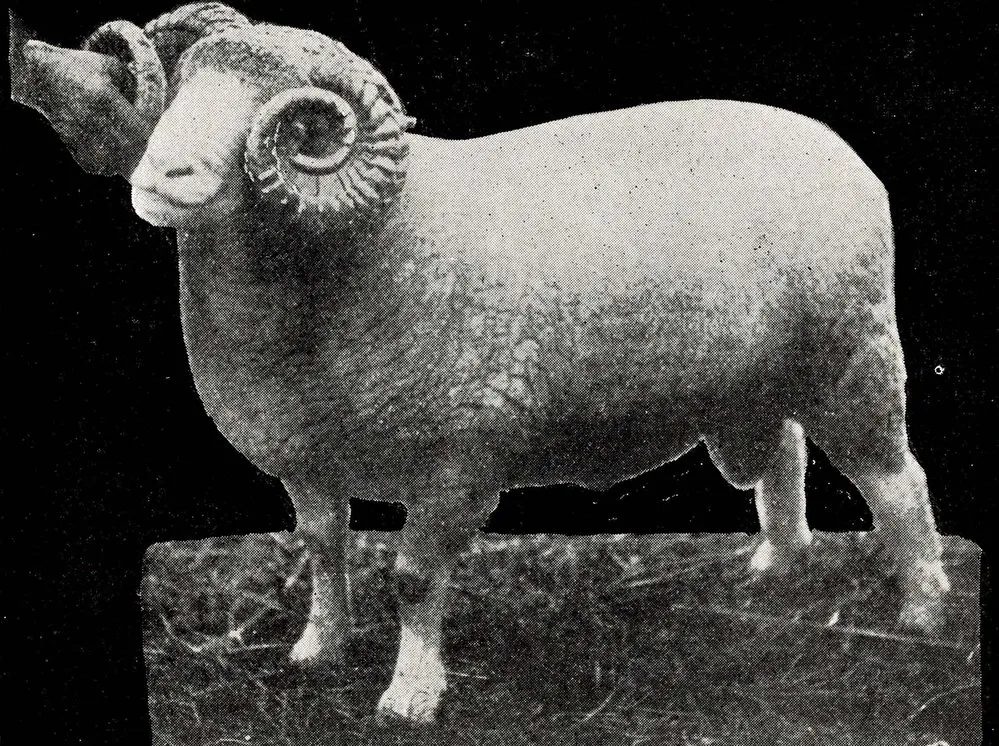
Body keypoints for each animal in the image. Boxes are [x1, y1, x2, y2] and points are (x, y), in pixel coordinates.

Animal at [15, 3, 951, 724]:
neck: (376, 248)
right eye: (181, 90)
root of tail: (832, 145)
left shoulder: (456, 459)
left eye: (274, 114)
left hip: (852, 354)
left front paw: (408, 697)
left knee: (896, 483)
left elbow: (413, 577)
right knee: (784, 455)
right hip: (758, 374)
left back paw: (920, 612)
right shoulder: (309, 455)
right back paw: (774, 568)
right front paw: (317, 648)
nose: (160, 173)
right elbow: (321, 547)